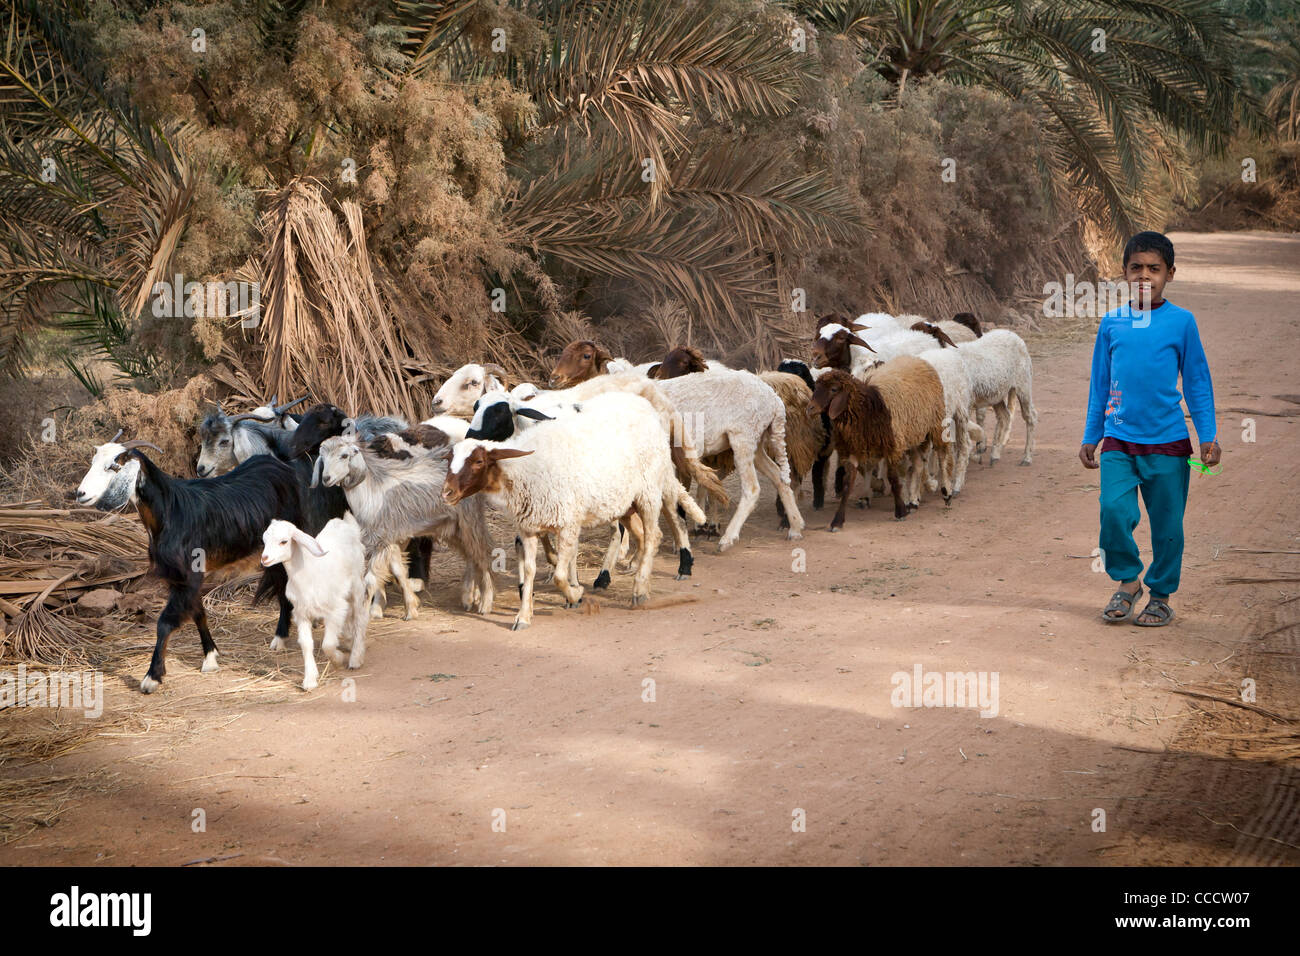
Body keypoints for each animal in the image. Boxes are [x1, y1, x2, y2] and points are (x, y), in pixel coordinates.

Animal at [260, 515, 369, 686]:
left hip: (357, 584)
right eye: (264, 540)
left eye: (284, 541)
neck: (308, 574)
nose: (264, 559)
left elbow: (328, 644)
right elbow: (306, 644)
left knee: (360, 617)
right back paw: (348, 641)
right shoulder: (301, 613)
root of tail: (345, 524)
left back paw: (355, 658)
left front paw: (338, 660)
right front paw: (310, 679)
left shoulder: (335, 609)